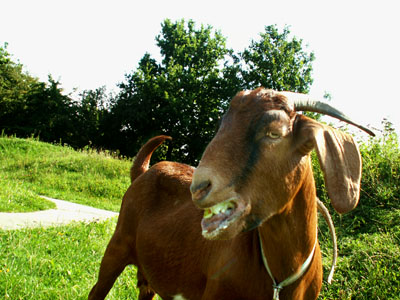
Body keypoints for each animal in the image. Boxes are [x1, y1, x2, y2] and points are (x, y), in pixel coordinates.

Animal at [89, 88, 374, 298]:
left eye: (274, 133)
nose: (199, 186)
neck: (280, 278)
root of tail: (144, 172)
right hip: (117, 245)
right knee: (97, 290)